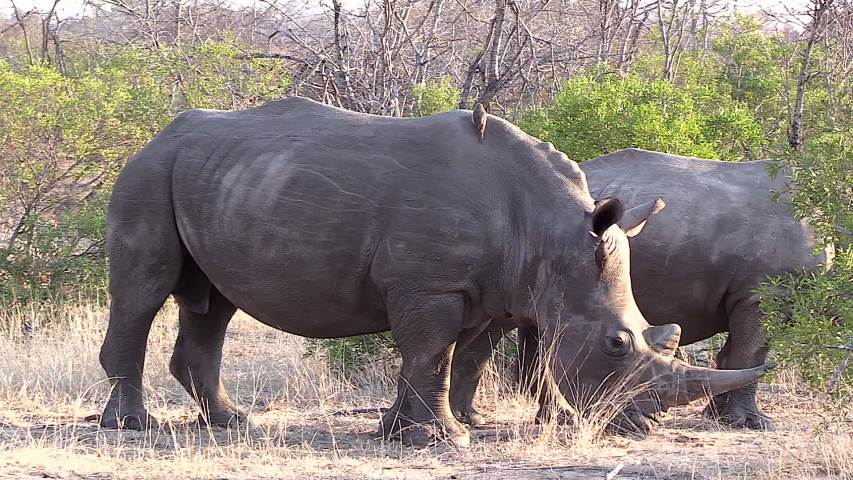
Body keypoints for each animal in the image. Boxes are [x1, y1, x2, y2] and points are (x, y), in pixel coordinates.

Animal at [98, 99, 764, 448]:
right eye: (617, 344)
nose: (640, 427)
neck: (550, 235)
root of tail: (155, 135)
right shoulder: (431, 284)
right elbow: (434, 352)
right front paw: (446, 438)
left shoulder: (474, 286)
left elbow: (433, 357)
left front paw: (399, 430)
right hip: (147, 172)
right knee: (144, 288)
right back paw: (132, 427)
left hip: (218, 177)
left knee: (212, 301)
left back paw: (232, 422)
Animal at [512, 148, 832, 434]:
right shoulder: (766, 292)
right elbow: (751, 354)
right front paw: (749, 424)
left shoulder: (754, 294)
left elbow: (736, 355)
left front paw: (719, 417)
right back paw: (561, 419)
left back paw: (555, 419)